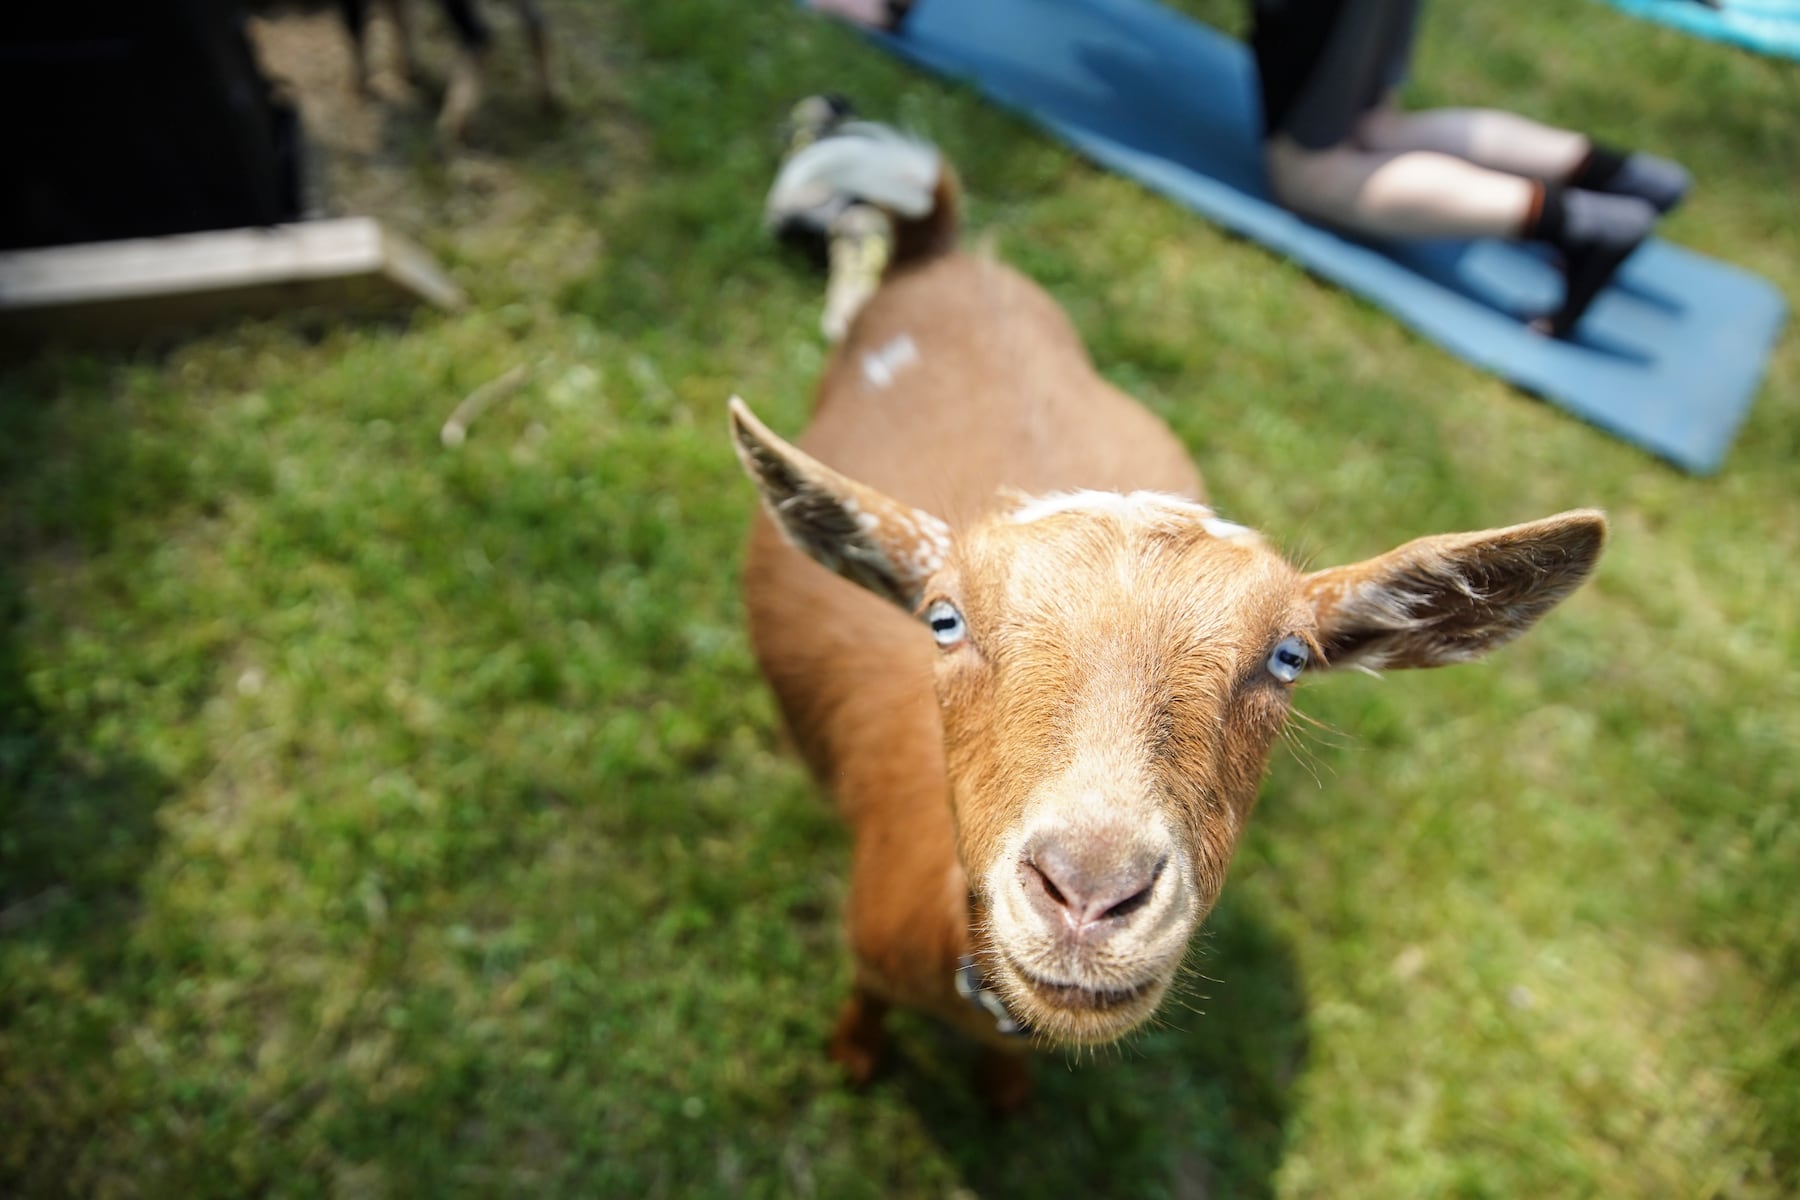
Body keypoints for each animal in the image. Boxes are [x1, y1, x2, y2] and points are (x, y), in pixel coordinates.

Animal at [733, 108, 1606, 1111]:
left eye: (1288, 658)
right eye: (943, 619)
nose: (1088, 894)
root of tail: (944, 251)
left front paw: (1004, 1097)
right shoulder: (868, 950)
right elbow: (864, 1006)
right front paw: (853, 1058)